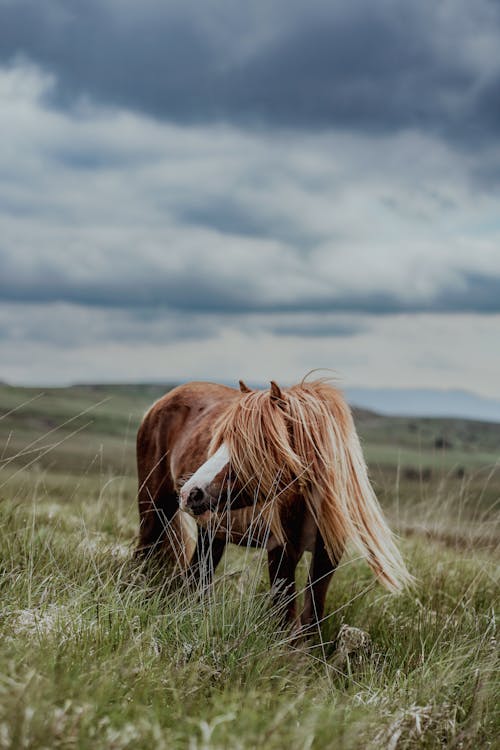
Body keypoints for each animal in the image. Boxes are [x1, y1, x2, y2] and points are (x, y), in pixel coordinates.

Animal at [136, 378, 410, 632]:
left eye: (252, 446)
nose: (190, 493)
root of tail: (163, 401)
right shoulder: (281, 553)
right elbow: (285, 616)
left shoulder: (327, 557)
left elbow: (312, 619)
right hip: (154, 511)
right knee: (143, 557)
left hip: (212, 534)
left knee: (197, 579)